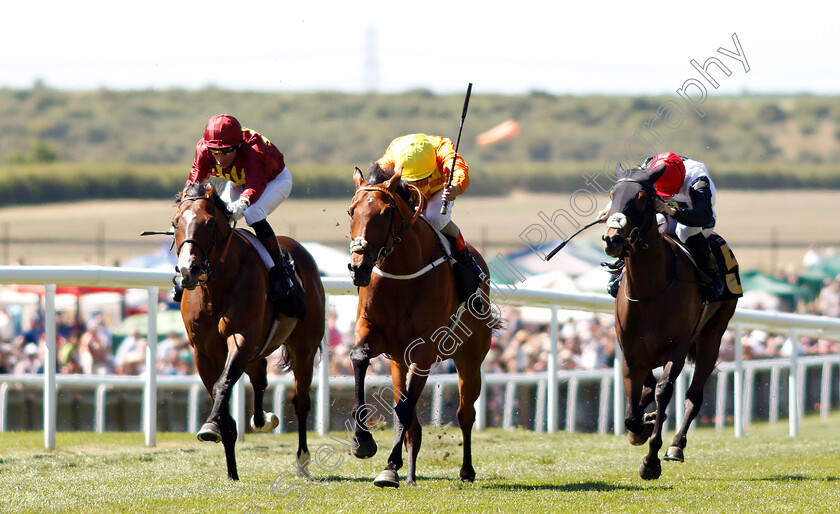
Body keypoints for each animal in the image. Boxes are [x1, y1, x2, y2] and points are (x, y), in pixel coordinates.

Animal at [171, 179, 324, 476]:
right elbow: (220, 392)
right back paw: (263, 420)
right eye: (175, 222)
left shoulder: (241, 337)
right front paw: (231, 468)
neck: (216, 287)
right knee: (260, 377)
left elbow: (223, 384)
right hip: (257, 350)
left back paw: (302, 461)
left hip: (304, 347)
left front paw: (210, 426)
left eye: (209, 223)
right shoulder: (202, 351)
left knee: (301, 400)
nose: (187, 271)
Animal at [344, 166, 496, 486]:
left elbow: (404, 408)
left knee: (465, 413)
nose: (358, 266)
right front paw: (363, 442)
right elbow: (360, 358)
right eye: (351, 211)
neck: (401, 273)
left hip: (469, 359)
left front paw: (389, 463)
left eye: (385, 213)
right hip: (398, 362)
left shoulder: (425, 348)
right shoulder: (371, 330)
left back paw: (466, 470)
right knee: (411, 418)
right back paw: (408, 472)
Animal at [600, 162, 740, 478]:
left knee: (694, 395)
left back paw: (676, 445)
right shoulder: (630, 354)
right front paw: (641, 426)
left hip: (712, 335)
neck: (649, 291)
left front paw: (651, 461)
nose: (613, 239)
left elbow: (664, 391)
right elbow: (632, 411)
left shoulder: (676, 348)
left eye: (641, 198)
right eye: (612, 194)